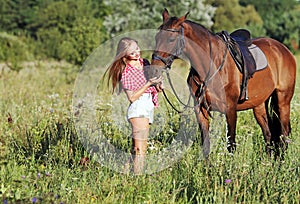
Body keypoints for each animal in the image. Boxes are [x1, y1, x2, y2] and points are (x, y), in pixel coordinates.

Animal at [151, 8, 296, 158]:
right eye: (157, 38)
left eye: (171, 39)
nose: (154, 70)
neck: (211, 65)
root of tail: (282, 49)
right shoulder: (200, 110)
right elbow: (206, 145)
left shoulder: (230, 110)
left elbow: (231, 144)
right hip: (259, 105)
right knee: (268, 133)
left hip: (283, 101)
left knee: (284, 135)